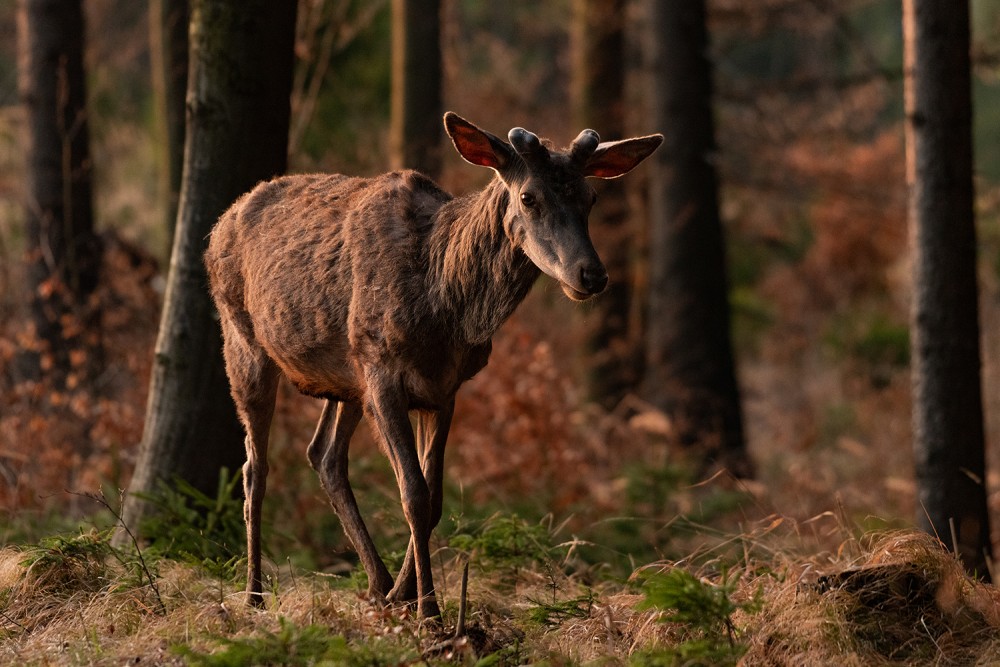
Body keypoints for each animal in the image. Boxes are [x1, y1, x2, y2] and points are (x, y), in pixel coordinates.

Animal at [204, 112, 664, 620]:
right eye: (529, 197)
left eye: (591, 197)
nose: (592, 274)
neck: (446, 307)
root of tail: (219, 224)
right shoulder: (384, 372)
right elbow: (414, 494)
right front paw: (429, 610)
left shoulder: (443, 389)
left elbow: (436, 497)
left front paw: (406, 596)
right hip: (246, 341)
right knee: (255, 469)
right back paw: (254, 593)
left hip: (346, 376)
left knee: (322, 455)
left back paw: (378, 585)